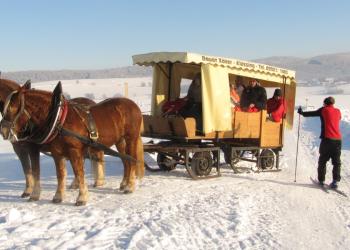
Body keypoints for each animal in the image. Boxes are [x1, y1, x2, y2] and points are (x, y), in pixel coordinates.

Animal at [0, 82, 144, 205]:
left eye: (12, 108)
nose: (3, 131)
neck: (58, 120)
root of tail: (133, 105)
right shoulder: (57, 153)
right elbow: (60, 174)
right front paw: (58, 196)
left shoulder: (72, 151)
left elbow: (78, 173)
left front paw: (82, 197)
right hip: (120, 141)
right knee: (125, 161)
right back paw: (124, 183)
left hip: (131, 139)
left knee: (132, 160)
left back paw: (129, 186)